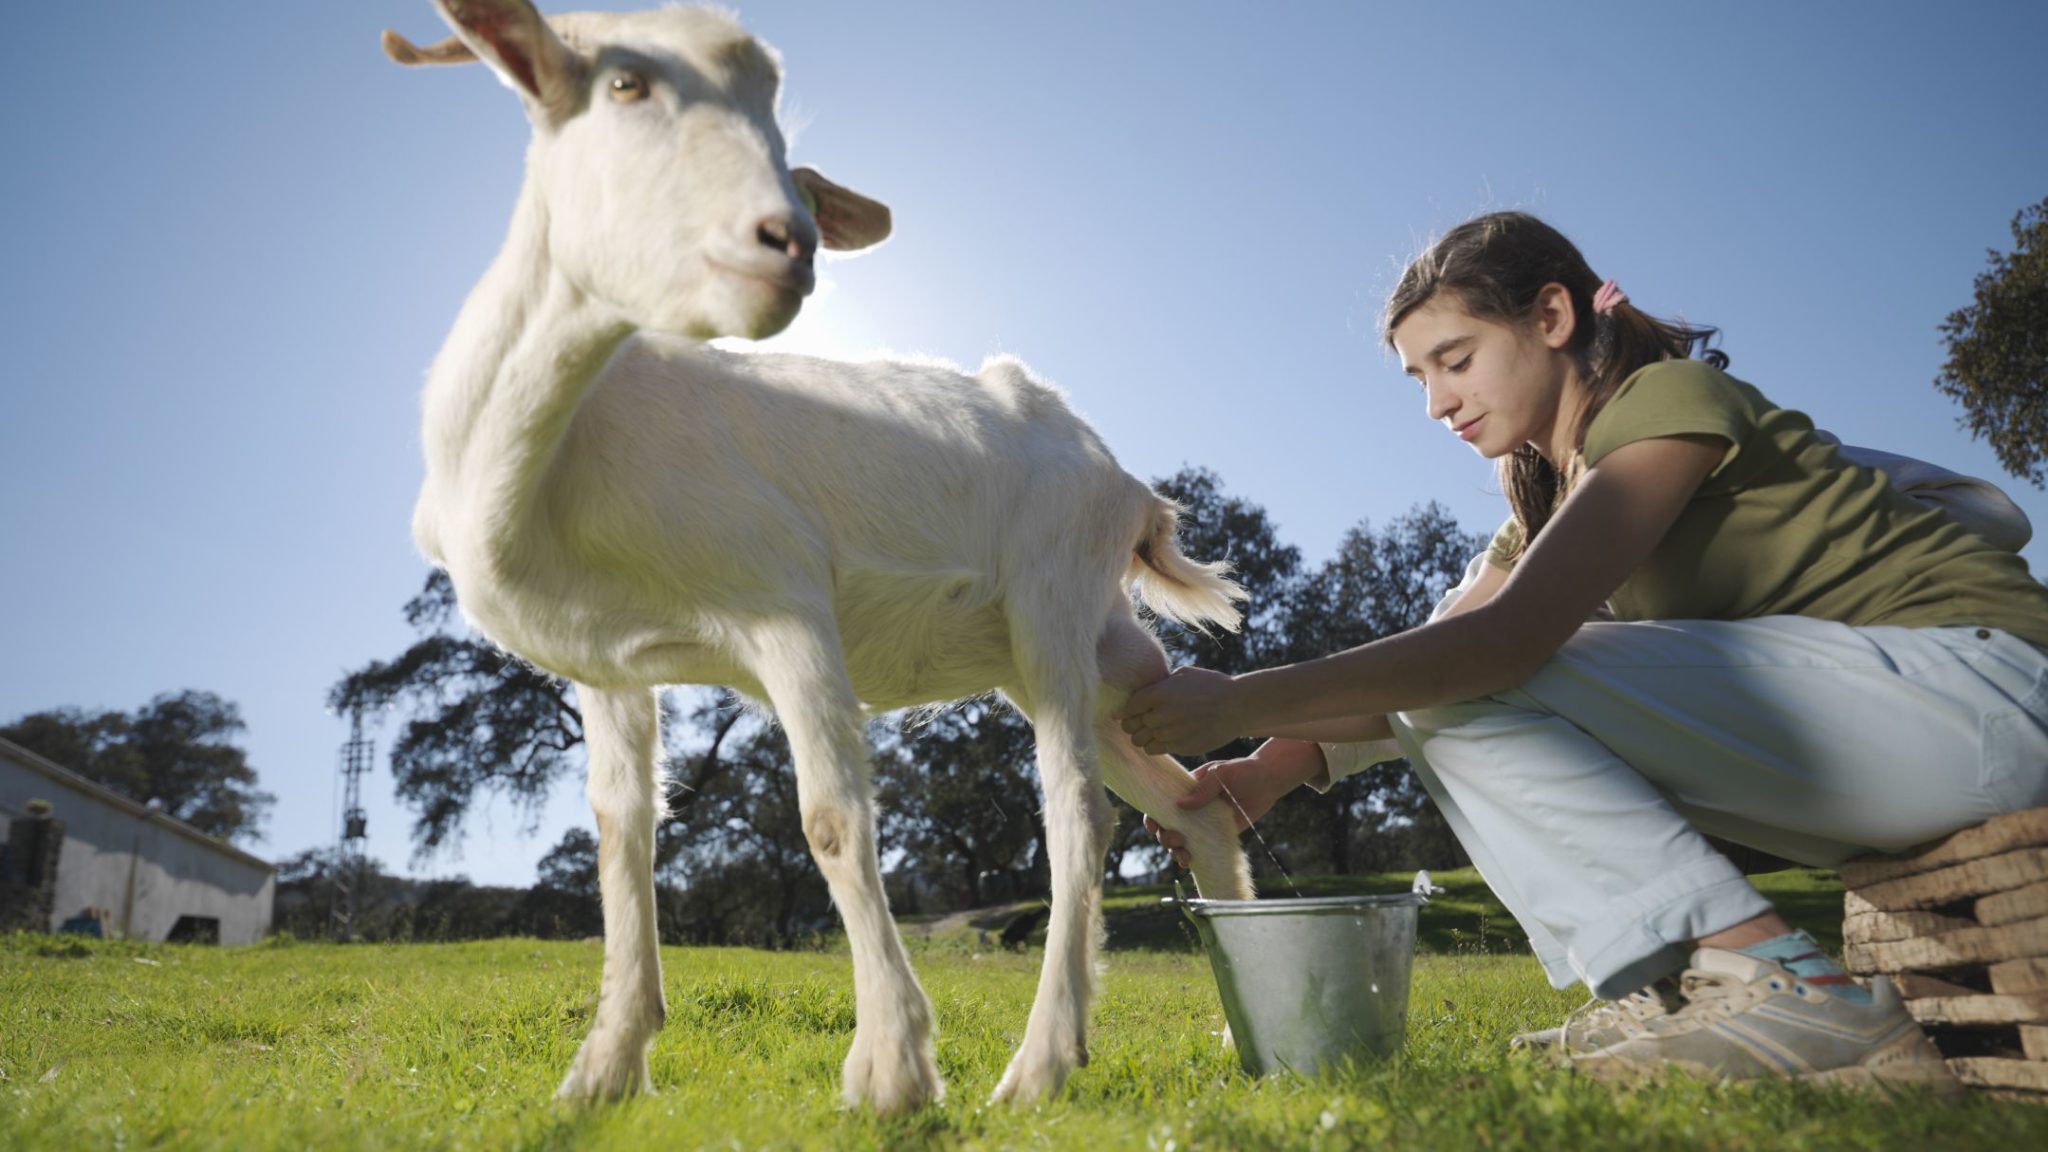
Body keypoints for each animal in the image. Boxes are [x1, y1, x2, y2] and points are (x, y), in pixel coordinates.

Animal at [382, 2, 1245, 1115]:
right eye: (625, 83)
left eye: (781, 135)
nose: (785, 244)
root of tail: (1126, 481)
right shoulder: (606, 666)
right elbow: (623, 834)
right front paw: (602, 1072)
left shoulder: (785, 605)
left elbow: (831, 819)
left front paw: (891, 1070)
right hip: (1076, 661)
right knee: (1194, 804)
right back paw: (1236, 1039)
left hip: (1051, 601)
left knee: (1078, 818)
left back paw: (1038, 1065)